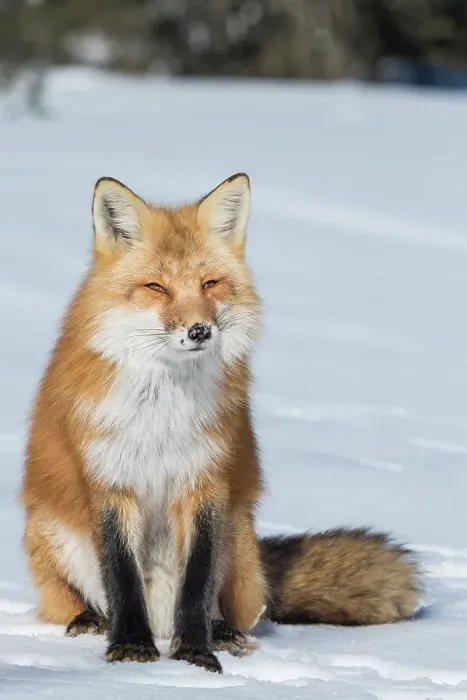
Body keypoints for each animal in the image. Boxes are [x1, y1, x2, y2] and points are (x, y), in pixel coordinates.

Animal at [21, 173, 422, 674]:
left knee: (234, 608)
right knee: (72, 601)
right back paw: (89, 620)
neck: (163, 414)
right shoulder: (111, 481)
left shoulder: (206, 480)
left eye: (210, 283)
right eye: (157, 287)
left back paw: (224, 634)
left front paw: (195, 653)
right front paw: (130, 648)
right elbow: (122, 578)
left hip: (238, 540)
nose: (199, 331)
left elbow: (197, 581)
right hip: (49, 532)